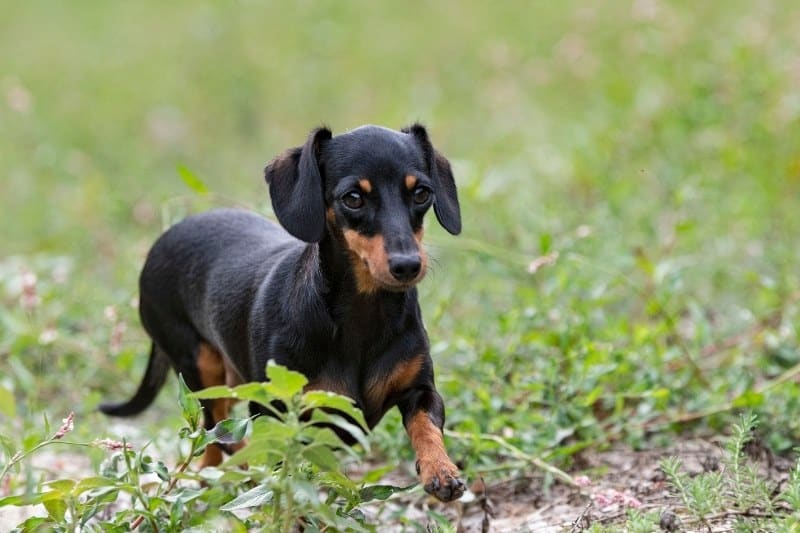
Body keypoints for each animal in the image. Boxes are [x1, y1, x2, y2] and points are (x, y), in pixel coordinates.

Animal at [101, 122, 462, 500]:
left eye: (421, 193)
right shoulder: (273, 410)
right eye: (353, 198)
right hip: (199, 366)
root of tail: (163, 238)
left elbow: (426, 426)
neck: (363, 316)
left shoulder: (420, 391)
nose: (407, 265)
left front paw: (440, 470)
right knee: (215, 431)